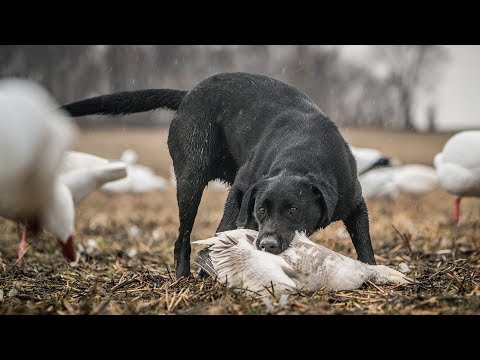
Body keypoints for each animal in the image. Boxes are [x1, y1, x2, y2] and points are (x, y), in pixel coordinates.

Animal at [62, 71, 376, 278]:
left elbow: (365, 245)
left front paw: (373, 272)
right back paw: (186, 277)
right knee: (184, 238)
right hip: (190, 180)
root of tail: (188, 96)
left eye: (294, 210)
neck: (302, 156)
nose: (267, 245)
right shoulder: (241, 192)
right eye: (262, 210)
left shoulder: (356, 205)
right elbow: (222, 230)